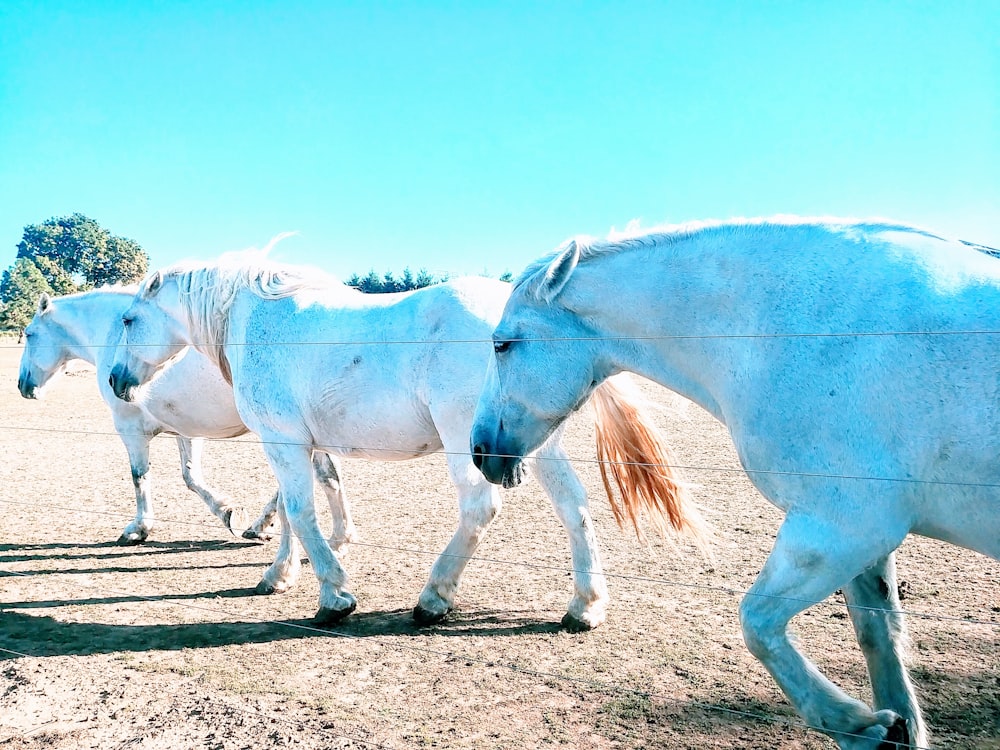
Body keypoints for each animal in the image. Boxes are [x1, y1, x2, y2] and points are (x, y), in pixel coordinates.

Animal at [18, 288, 356, 548]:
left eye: (29, 334)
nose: (23, 385)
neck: (115, 338)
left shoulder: (131, 429)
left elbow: (140, 477)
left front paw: (139, 529)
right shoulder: (186, 430)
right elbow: (191, 477)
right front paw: (228, 512)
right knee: (324, 477)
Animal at [101, 262, 696, 632]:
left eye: (128, 318)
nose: (115, 380)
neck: (259, 322)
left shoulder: (283, 442)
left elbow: (300, 511)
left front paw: (334, 597)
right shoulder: (295, 444)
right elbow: (294, 514)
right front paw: (278, 575)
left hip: (469, 443)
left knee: (480, 508)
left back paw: (433, 599)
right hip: (531, 441)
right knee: (574, 507)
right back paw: (584, 607)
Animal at [470, 216, 1000, 748]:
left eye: (501, 343)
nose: (479, 450)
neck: (790, 329)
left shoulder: (838, 529)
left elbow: (757, 624)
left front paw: (859, 726)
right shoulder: (865, 542)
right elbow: (878, 637)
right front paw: (893, 728)